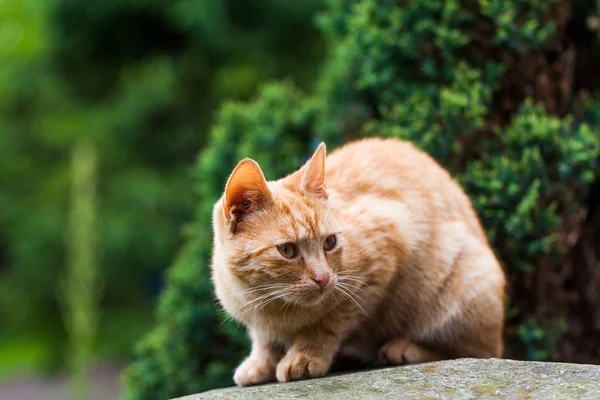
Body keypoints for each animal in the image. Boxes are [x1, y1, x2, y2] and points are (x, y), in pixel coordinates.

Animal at [211, 136, 506, 386]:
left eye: (329, 242)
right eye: (287, 250)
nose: (323, 278)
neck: (273, 307)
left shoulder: (379, 263)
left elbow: (328, 323)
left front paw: (305, 355)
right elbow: (263, 339)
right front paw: (260, 363)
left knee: (472, 351)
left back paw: (403, 349)